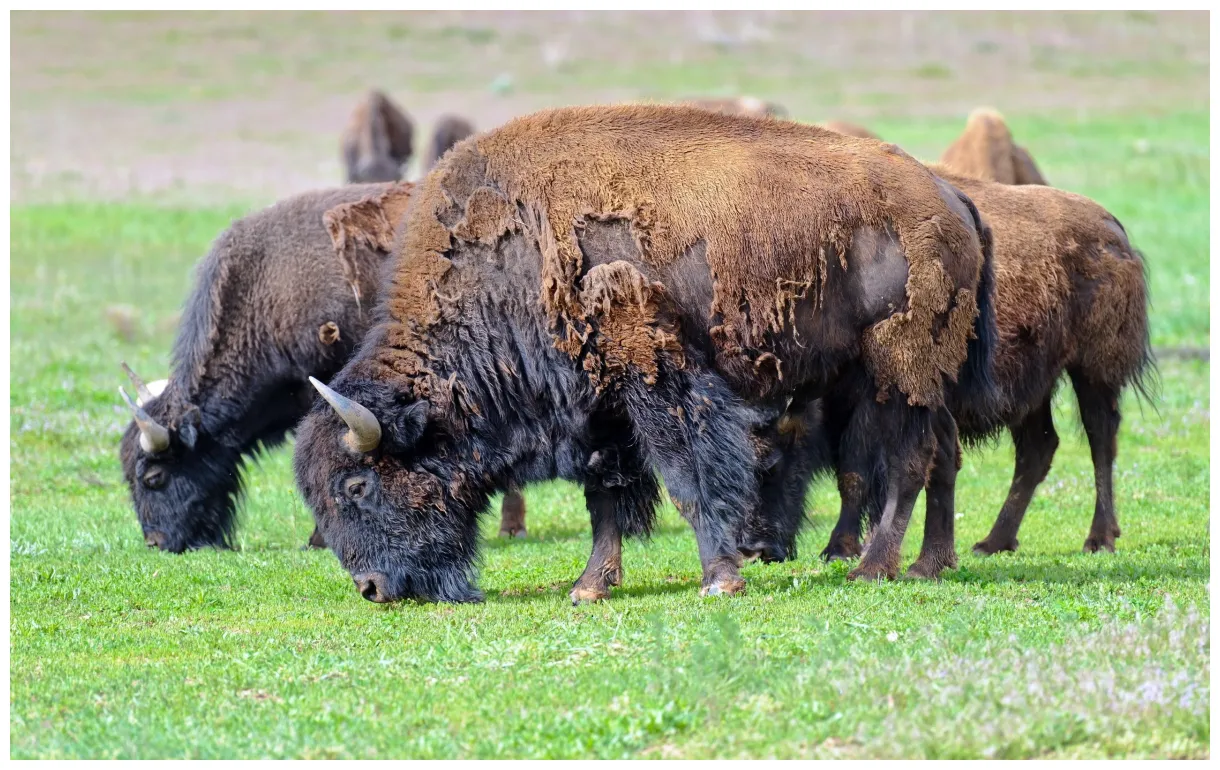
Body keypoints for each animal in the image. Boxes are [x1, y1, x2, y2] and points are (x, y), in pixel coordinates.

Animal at [293, 104, 997, 604]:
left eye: (356, 485)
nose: (373, 589)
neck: (504, 265)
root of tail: (949, 198)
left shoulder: (655, 384)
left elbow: (686, 479)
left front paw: (720, 579)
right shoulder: (599, 408)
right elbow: (606, 498)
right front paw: (588, 588)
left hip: (896, 368)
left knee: (908, 462)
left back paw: (875, 570)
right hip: (907, 376)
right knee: (940, 457)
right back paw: (930, 565)